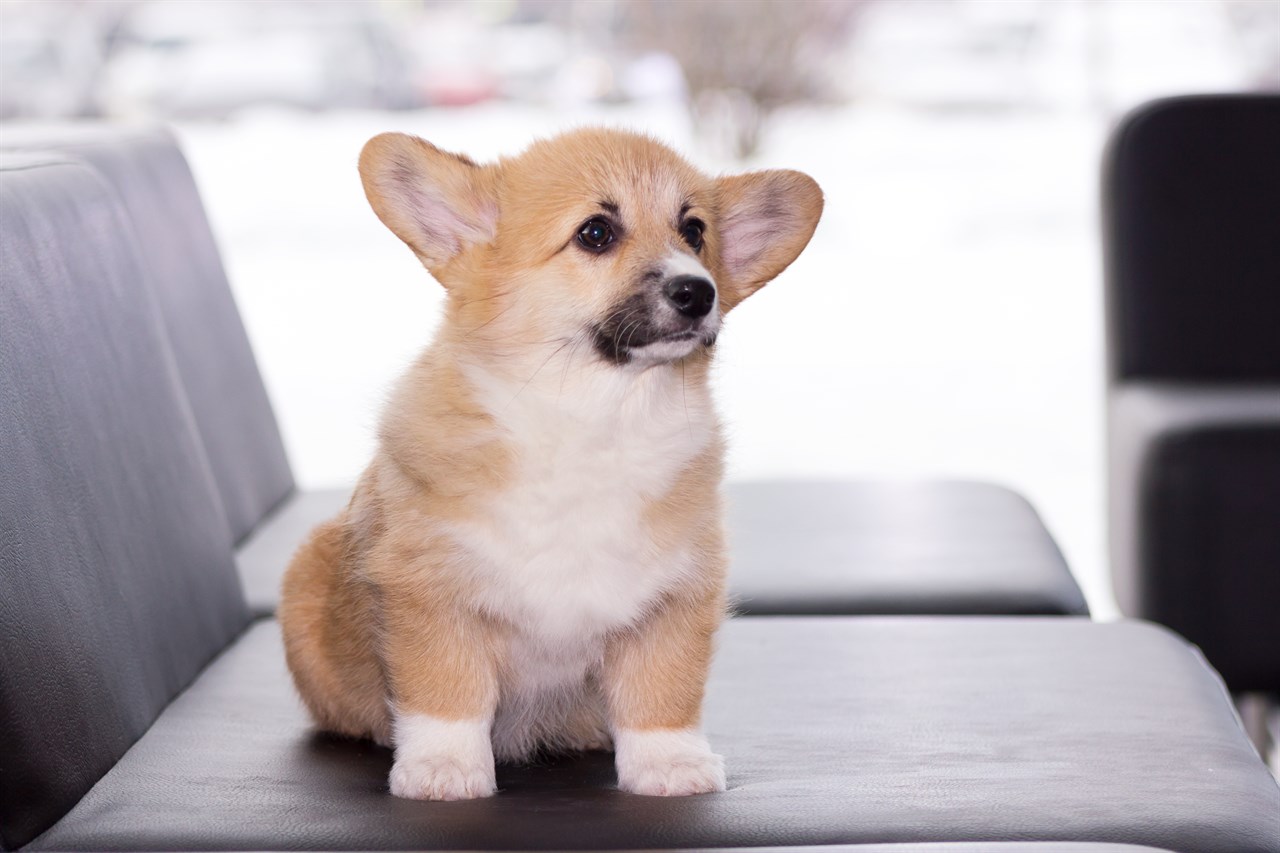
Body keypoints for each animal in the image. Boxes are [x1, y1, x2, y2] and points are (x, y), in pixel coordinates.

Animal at [277, 126, 819, 799]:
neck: (593, 418)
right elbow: (447, 693)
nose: (699, 291)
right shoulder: (427, 594)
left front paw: (670, 765)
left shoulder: (675, 595)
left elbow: (663, 692)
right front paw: (443, 769)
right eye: (596, 233)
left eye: (694, 231)